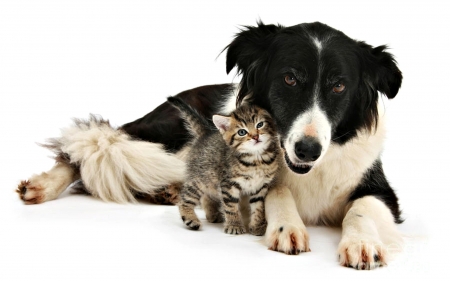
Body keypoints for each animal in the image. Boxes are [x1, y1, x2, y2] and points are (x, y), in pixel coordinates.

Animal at [167, 96, 280, 234]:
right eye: (242, 132)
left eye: (260, 124)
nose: (255, 136)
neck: (257, 159)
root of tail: (205, 134)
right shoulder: (228, 184)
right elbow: (231, 206)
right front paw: (234, 225)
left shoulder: (260, 187)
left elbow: (258, 207)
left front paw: (258, 226)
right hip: (199, 180)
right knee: (184, 198)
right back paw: (190, 219)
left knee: (207, 196)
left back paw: (212, 214)